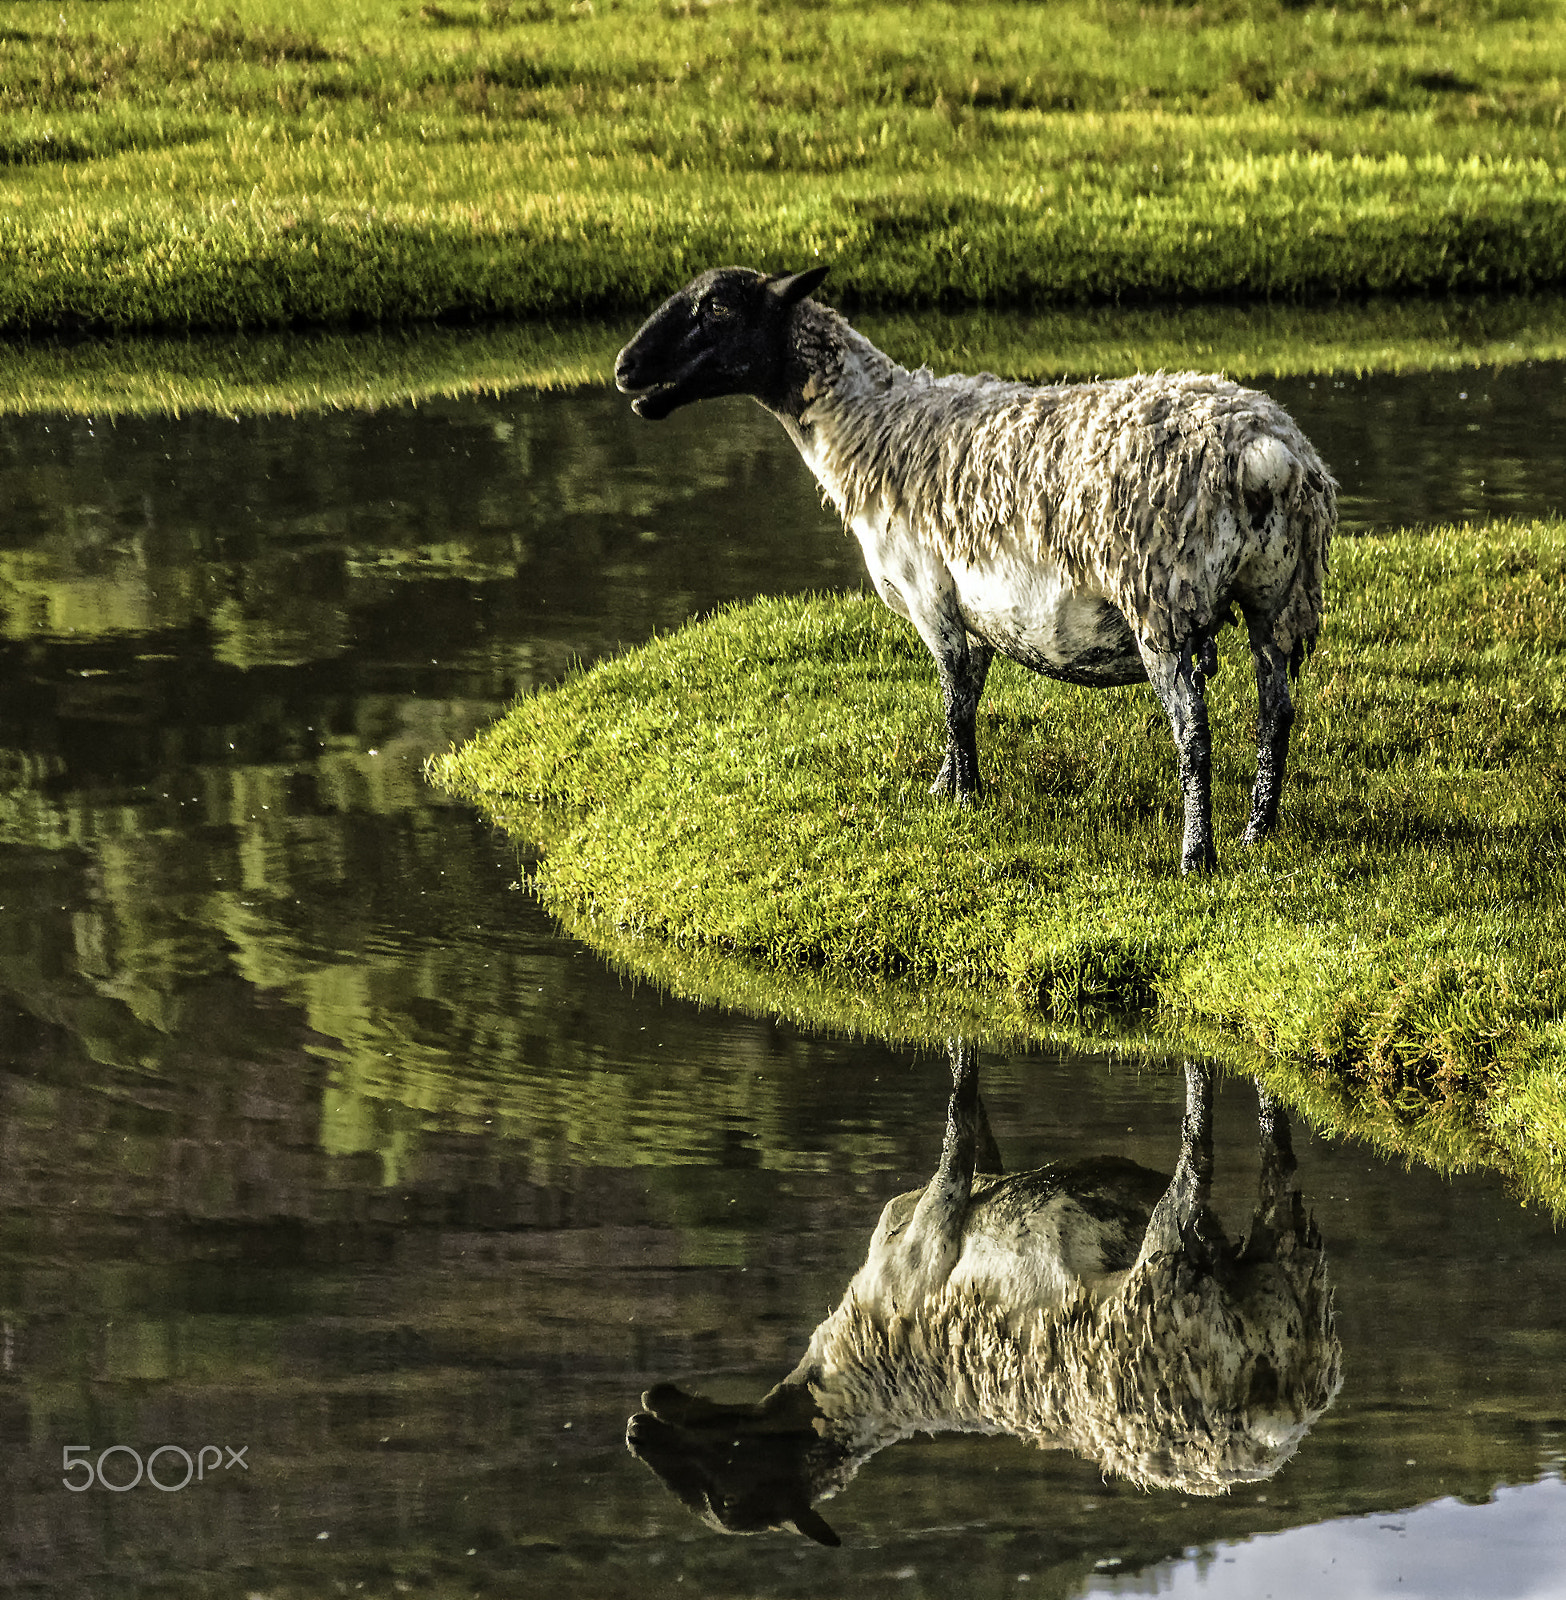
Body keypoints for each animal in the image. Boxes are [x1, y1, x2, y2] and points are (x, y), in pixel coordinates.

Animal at [614, 267, 1338, 873]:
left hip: (1161, 599)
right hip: (1280, 594)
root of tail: (1265, 452)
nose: (625, 369)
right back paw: (1258, 832)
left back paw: (1197, 857)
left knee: (1194, 735)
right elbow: (970, 694)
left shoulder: (928, 592)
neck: (869, 424)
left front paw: (966, 802)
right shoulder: (977, 607)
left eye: (717, 306)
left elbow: (955, 701)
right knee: (1277, 713)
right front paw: (942, 789)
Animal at [626, 1049, 1341, 1546]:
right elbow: (975, 1124)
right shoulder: (983, 1182)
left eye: (725, 1501)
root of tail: (1272, 1415)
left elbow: (957, 1119)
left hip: (1168, 1265)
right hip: (1288, 1251)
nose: (639, 1425)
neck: (854, 1382)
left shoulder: (929, 1232)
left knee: (1198, 1150)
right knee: (1278, 1154)